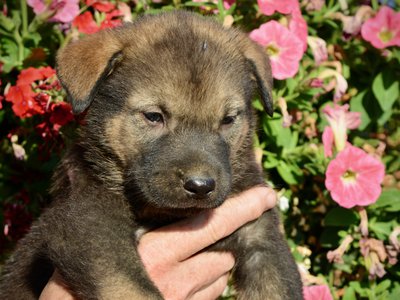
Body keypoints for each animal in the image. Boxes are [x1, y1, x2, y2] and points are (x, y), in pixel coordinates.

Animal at [0, 10, 302, 298]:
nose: (201, 186)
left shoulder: (261, 237)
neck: (164, 214)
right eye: (154, 116)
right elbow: (129, 288)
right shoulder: (88, 224)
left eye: (228, 120)